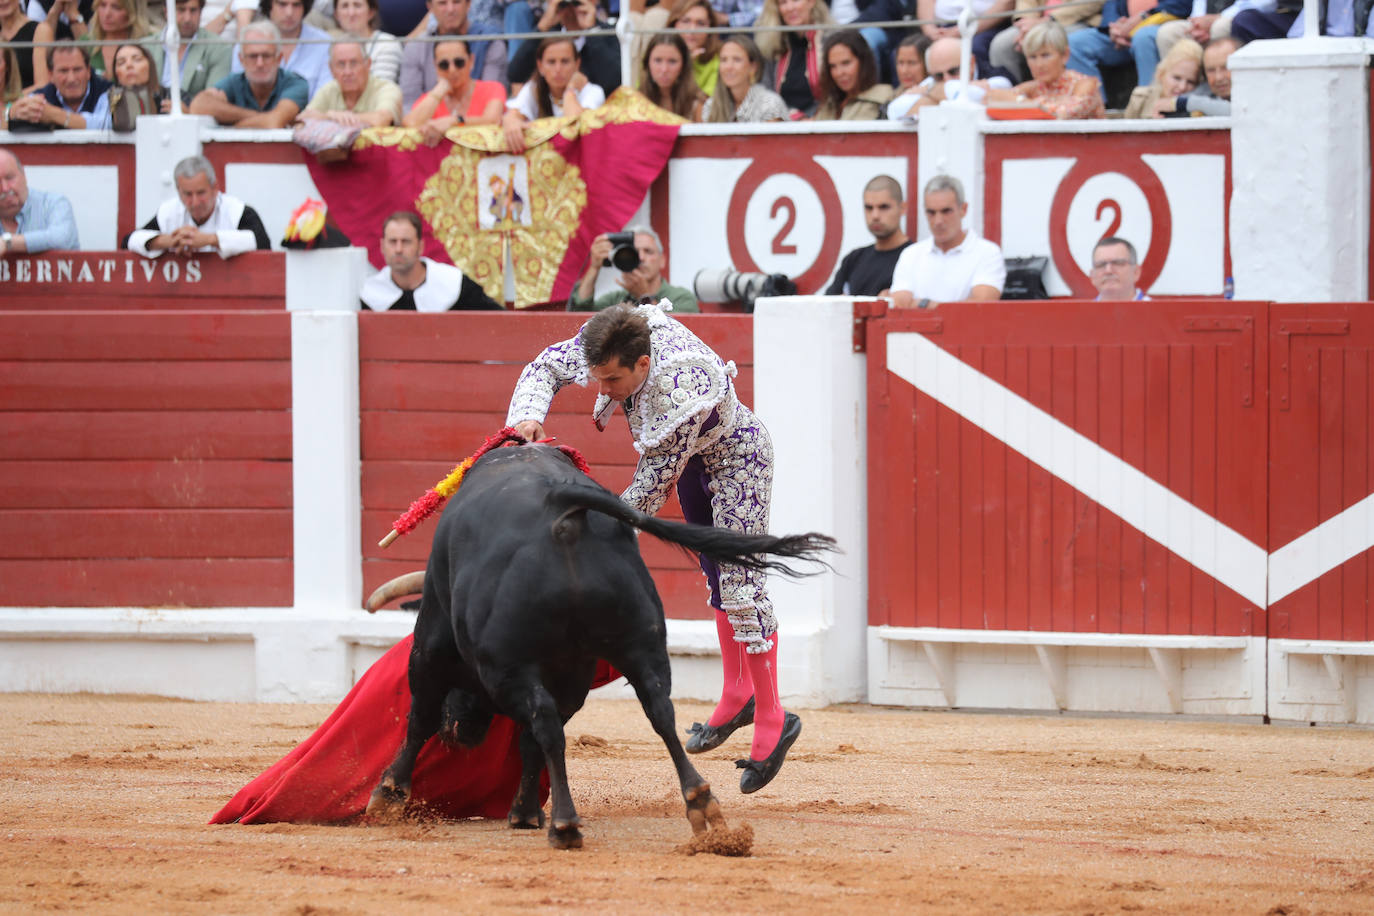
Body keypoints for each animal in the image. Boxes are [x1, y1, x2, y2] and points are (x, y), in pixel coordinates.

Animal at [365, 439, 829, 851]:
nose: (462, 734)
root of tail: (561, 507)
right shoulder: (572, 674)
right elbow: (531, 741)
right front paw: (524, 811)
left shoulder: (435, 644)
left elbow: (422, 717)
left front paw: (388, 794)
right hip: (640, 645)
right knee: (659, 712)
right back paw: (701, 803)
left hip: (507, 663)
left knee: (544, 723)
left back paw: (565, 825)